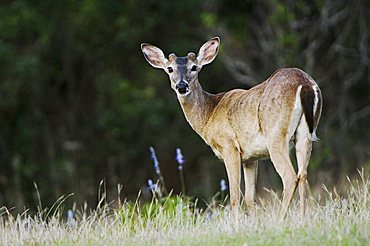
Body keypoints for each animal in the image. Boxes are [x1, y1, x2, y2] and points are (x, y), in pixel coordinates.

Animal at [141, 36, 320, 217]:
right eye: (170, 69)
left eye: (194, 67)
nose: (182, 86)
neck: (209, 114)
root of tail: (304, 84)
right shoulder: (251, 157)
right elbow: (249, 198)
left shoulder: (229, 147)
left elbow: (234, 197)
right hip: (305, 134)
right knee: (303, 174)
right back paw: (302, 218)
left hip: (276, 134)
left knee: (290, 177)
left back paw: (279, 220)